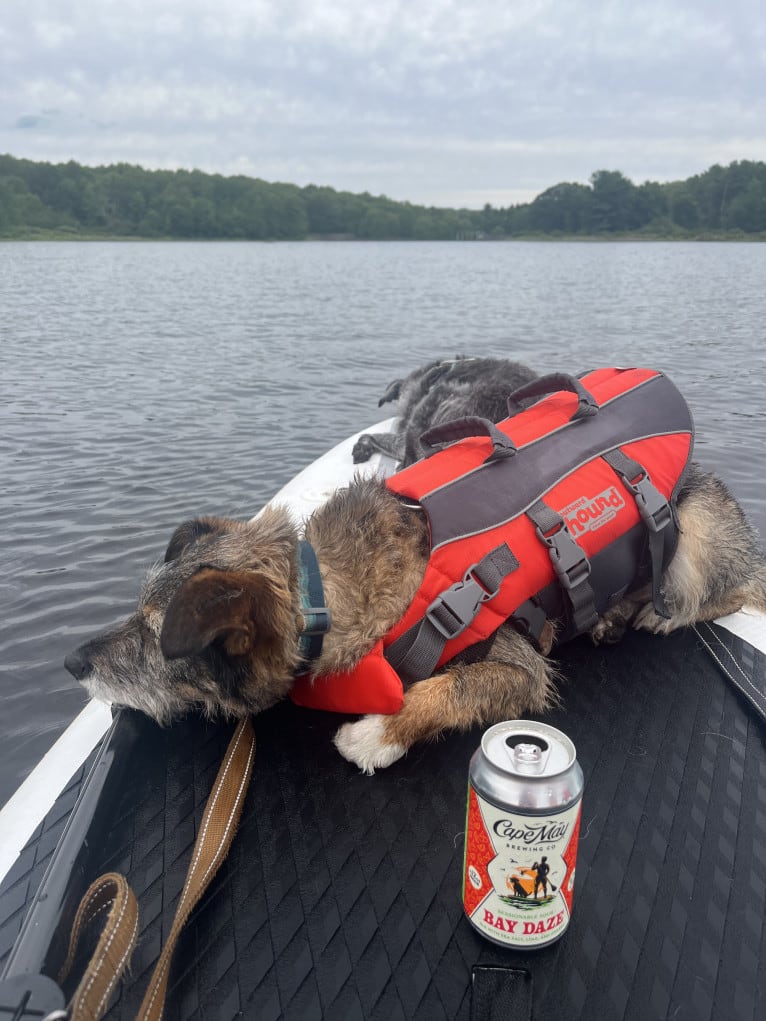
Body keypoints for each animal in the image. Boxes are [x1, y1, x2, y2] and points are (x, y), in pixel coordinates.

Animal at [64, 363, 766, 767]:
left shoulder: (520, 670)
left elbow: (447, 689)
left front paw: (376, 736)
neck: (320, 593)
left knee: (721, 592)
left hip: (698, 531)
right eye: (136, 612)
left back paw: (651, 612)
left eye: (154, 634)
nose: (73, 663)